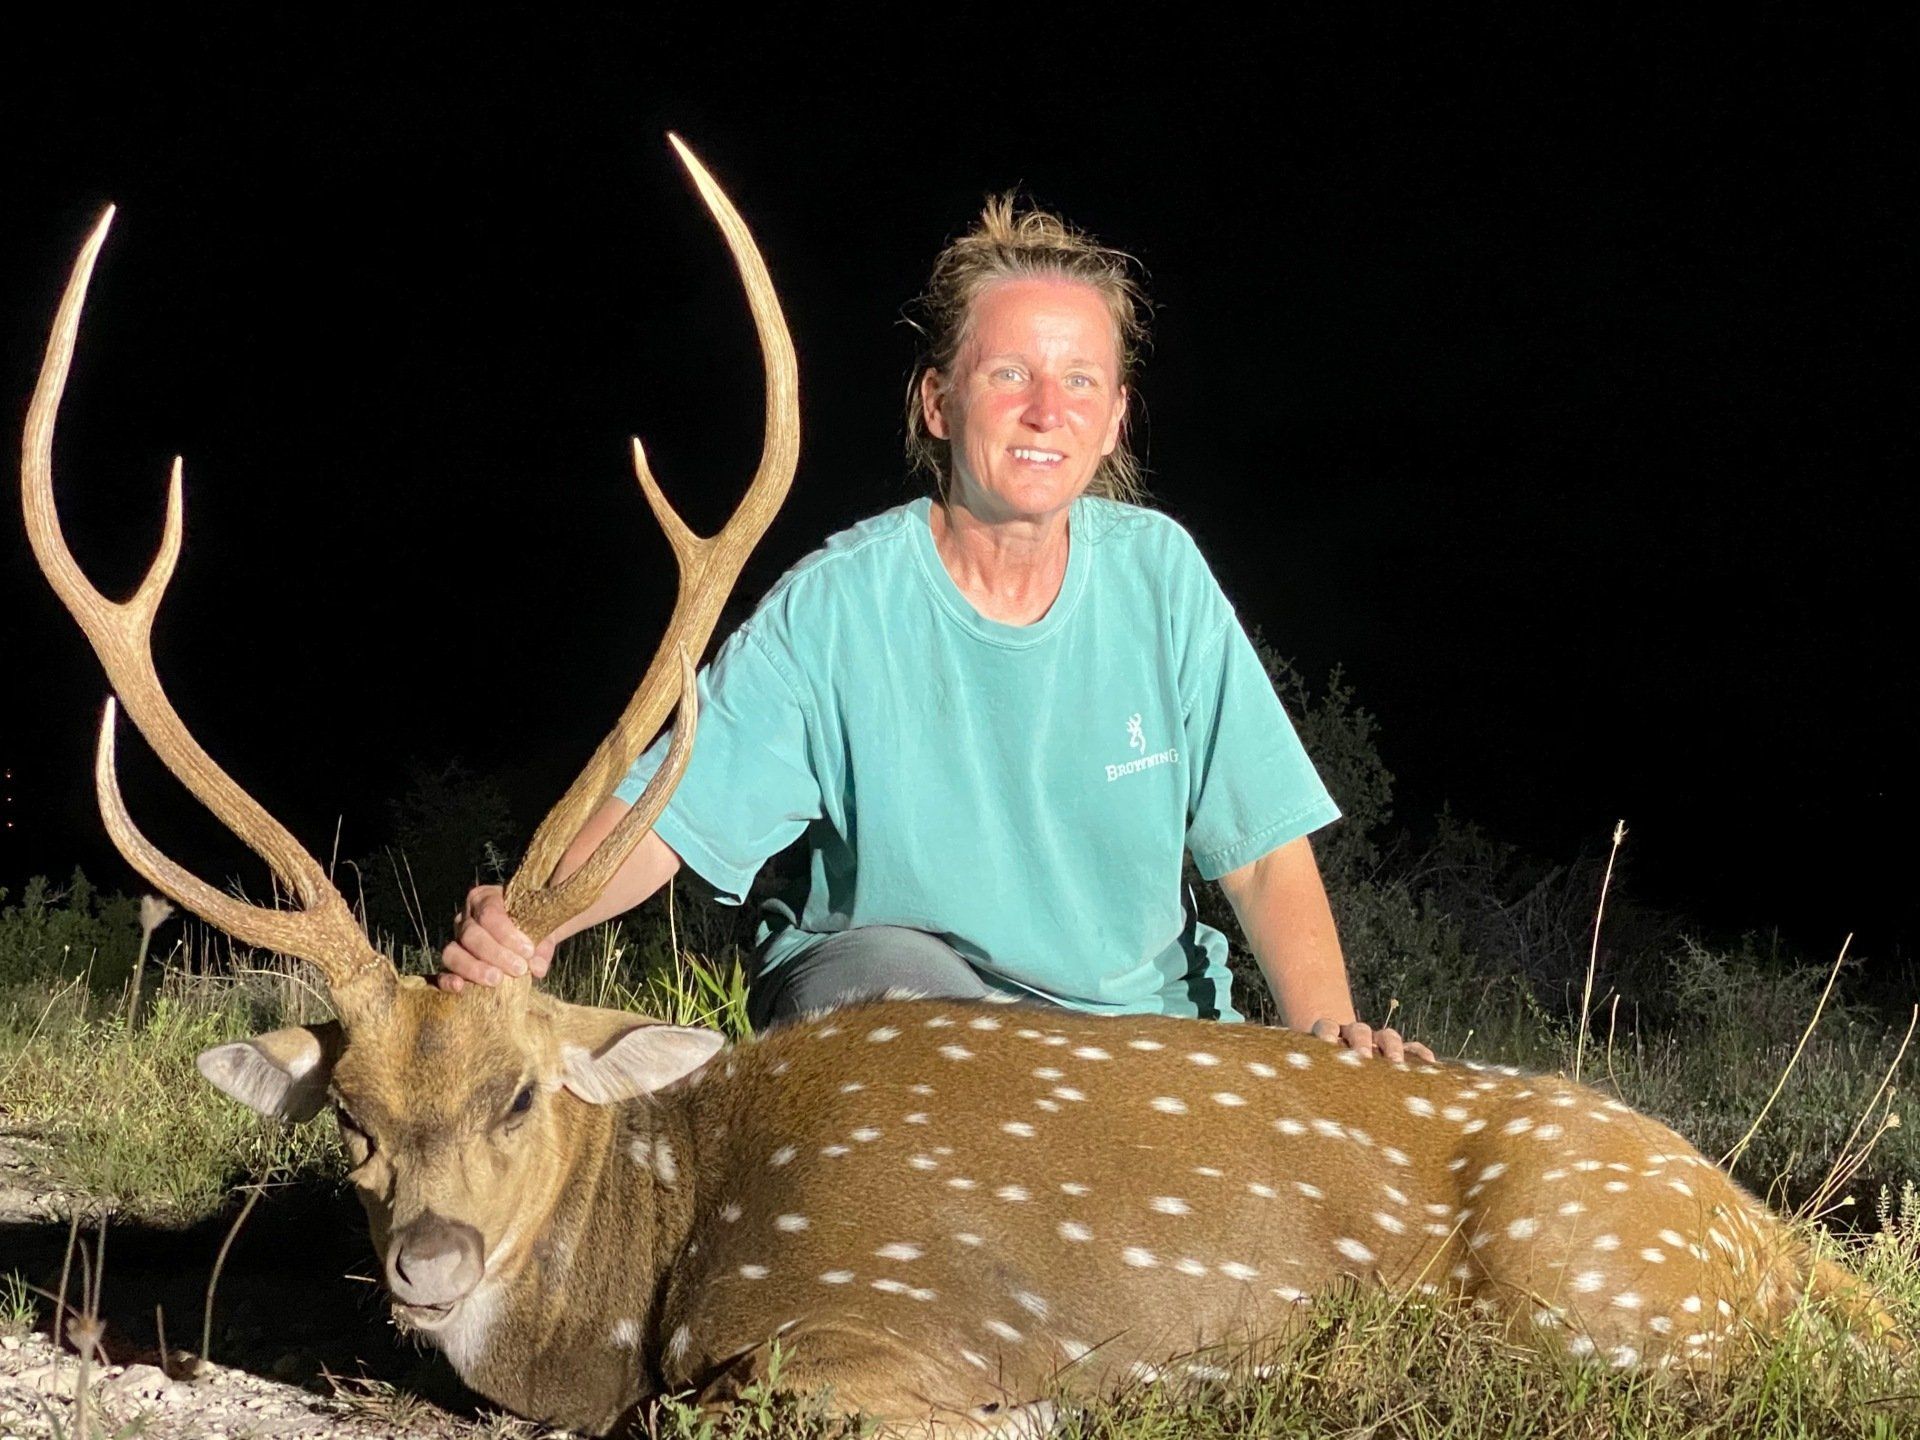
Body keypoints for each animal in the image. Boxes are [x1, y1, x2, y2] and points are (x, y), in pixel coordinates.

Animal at [23, 139, 1903, 1437]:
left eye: (520, 1093)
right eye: (350, 1121)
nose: (426, 1261)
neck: (654, 1260)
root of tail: (1769, 1236)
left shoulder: (860, 1319)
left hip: (1595, 1288)